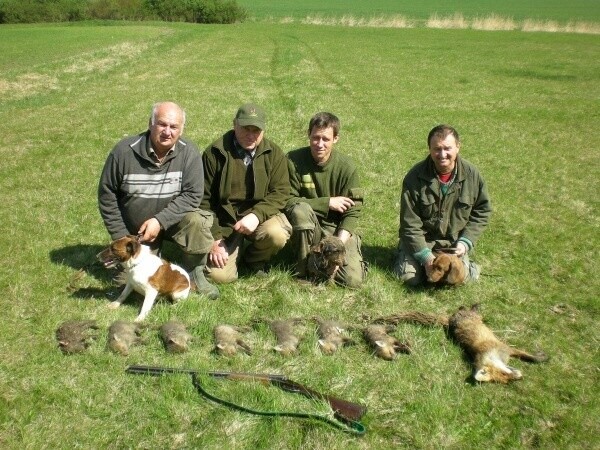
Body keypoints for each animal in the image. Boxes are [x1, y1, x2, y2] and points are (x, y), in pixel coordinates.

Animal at [376, 304, 548, 382]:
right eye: (505, 378)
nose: (519, 377)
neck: (491, 353)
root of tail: (449, 320)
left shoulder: (507, 349)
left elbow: (529, 356)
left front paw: (541, 358)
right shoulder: (504, 348)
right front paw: (542, 358)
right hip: (470, 315)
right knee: (468, 308)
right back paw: (475, 306)